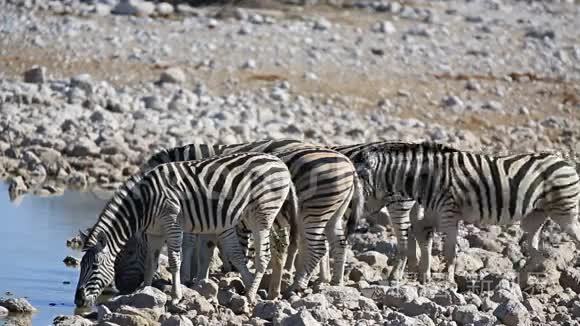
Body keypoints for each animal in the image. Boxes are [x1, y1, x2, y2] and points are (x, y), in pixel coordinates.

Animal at [74, 151, 296, 306]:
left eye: (94, 267)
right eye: (81, 266)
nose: (78, 301)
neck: (144, 203)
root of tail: (280, 163)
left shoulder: (172, 223)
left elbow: (174, 260)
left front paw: (175, 296)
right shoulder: (154, 232)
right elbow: (151, 263)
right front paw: (143, 292)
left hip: (263, 215)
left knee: (264, 256)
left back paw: (250, 294)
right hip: (255, 216)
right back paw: (251, 290)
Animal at [112, 139, 362, 300]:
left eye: (128, 253)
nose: (122, 289)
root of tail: (349, 165)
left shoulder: (193, 209)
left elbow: (191, 245)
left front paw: (186, 279)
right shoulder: (205, 213)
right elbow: (206, 247)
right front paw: (200, 278)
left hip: (313, 211)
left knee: (317, 247)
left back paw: (297, 286)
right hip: (332, 212)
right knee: (337, 243)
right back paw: (333, 283)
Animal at [352, 141, 580, 286]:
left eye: (357, 179)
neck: (424, 180)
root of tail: (564, 159)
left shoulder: (449, 215)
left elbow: (450, 252)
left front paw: (448, 282)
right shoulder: (432, 214)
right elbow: (425, 236)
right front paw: (424, 276)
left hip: (565, 212)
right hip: (535, 216)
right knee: (537, 251)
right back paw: (520, 282)